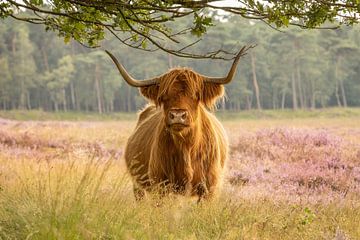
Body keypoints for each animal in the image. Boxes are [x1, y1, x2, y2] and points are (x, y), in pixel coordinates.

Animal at [105, 47, 248, 201]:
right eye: (164, 96)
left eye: (195, 95)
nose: (178, 116)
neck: (185, 146)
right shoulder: (161, 185)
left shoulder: (209, 188)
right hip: (138, 185)